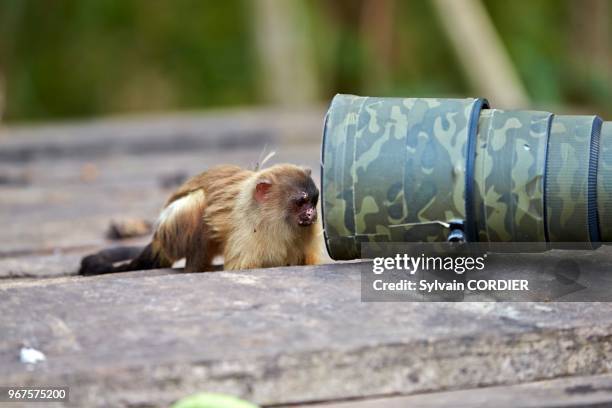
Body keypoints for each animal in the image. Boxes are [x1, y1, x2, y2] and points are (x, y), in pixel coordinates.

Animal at [77, 164, 320, 276]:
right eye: (301, 202)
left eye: (313, 201)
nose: (312, 214)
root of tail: (158, 240)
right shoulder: (248, 234)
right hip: (172, 236)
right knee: (197, 202)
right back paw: (196, 269)